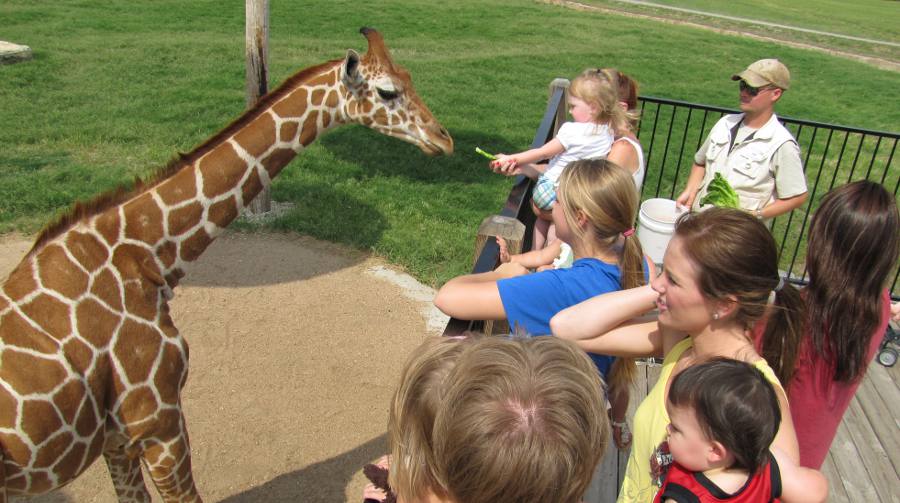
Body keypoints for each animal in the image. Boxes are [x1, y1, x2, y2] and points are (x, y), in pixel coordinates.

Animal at [0, 28, 450, 503]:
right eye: (387, 91)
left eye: (408, 77)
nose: (444, 138)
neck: (147, 252)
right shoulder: (158, 421)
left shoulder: (117, 438)